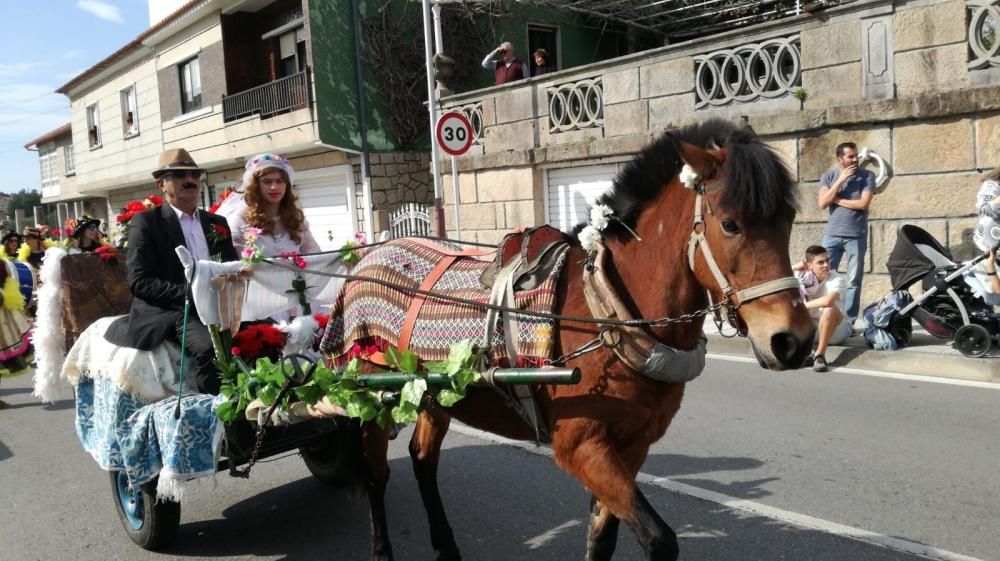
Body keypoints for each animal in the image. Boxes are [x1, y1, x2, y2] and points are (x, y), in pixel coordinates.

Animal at [340, 119, 816, 560]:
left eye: (789, 219)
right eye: (731, 224)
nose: (793, 340)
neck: (608, 313)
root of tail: (368, 256)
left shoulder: (632, 446)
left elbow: (602, 537)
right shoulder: (580, 446)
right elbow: (660, 539)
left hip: (432, 392)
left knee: (423, 461)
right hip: (370, 392)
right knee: (376, 475)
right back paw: (381, 549)